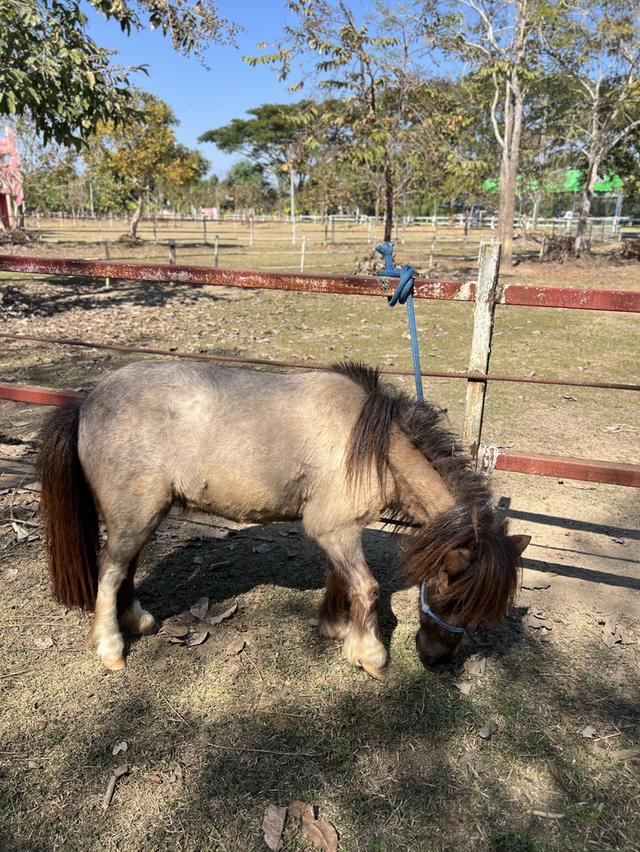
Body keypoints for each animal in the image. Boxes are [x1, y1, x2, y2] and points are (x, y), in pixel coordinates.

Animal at [37, 361, 530, 674]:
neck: (373, 445)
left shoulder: (338, 529)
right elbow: (368, 588)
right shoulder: (332, 528)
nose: (435, 659)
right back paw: (110, 648)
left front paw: (335, 627)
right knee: (110, 569)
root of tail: (86, 402)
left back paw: (136, 620)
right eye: (452, 597)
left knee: (126, 567)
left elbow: (341, 579)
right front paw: (369, 653)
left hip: (140, 514)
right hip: (135, 512)